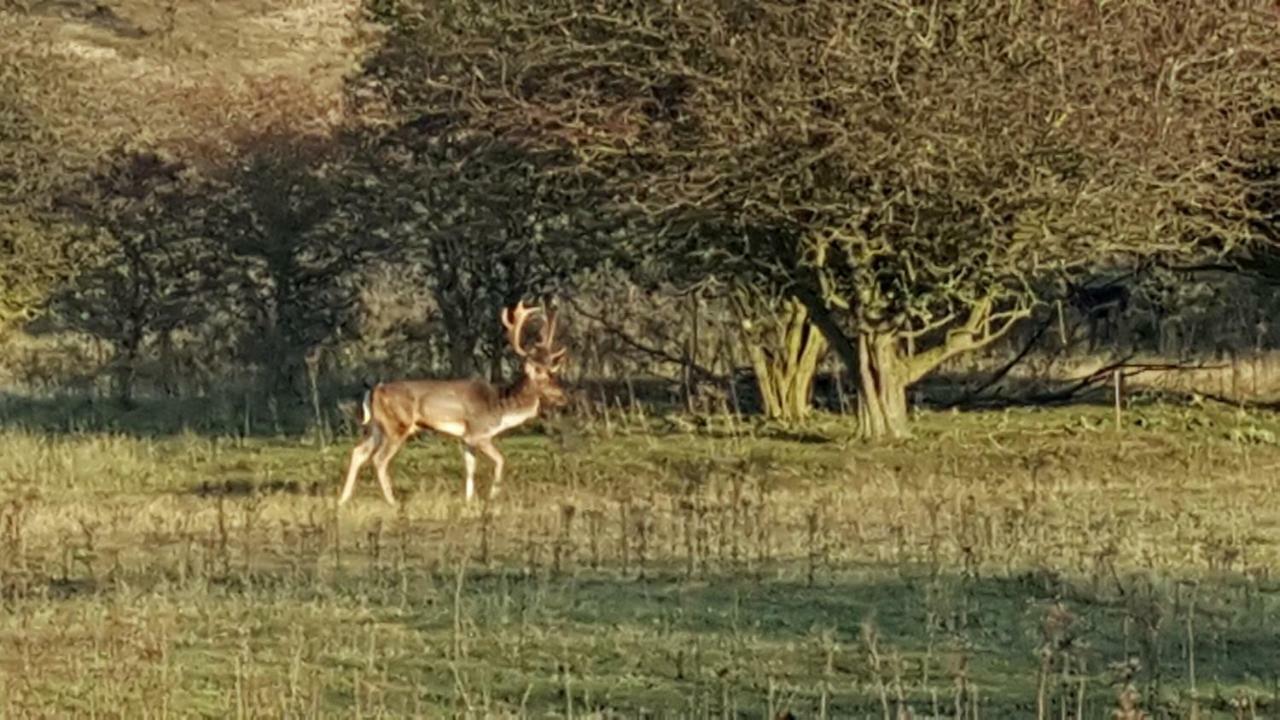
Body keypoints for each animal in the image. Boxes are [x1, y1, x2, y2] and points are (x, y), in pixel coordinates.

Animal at [337, 297, 568, 504]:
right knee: (379, 459)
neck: (501, 407)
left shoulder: (465, 439)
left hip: (377, 427)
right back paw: (392, 501)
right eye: (542, 373)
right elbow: (501, 460)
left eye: (553, 370)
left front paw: (469, 500)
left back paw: (343, 499)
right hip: (397, 426)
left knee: (358, 452)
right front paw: (493, 495)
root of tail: (374, 391)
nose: (563, 396)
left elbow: (470, 468)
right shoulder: (478, 432)